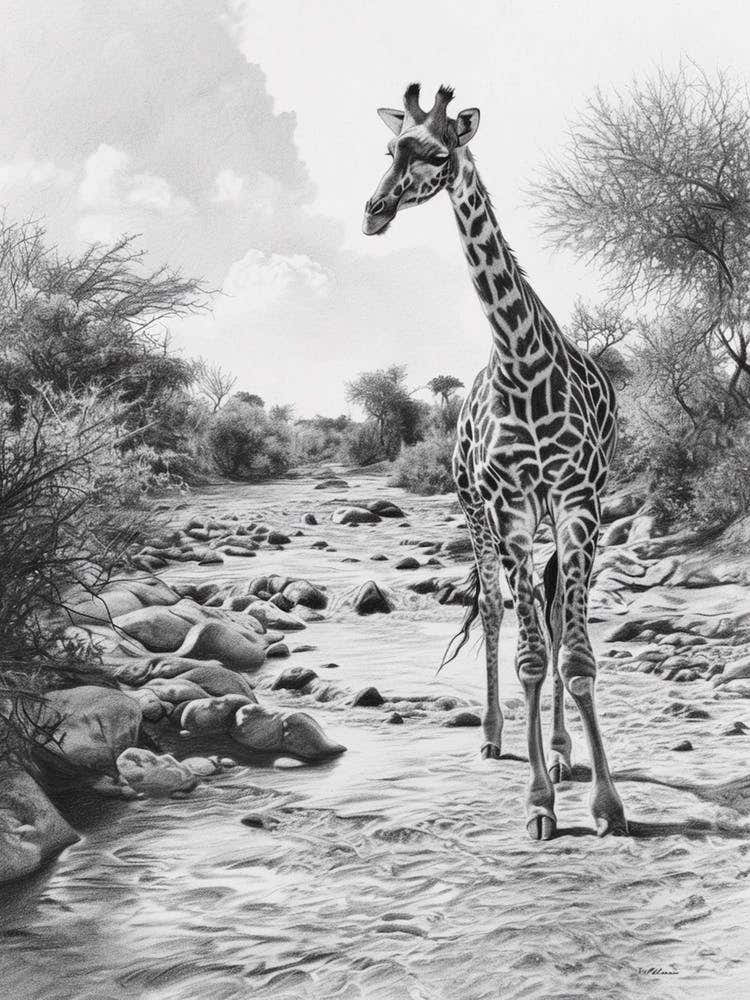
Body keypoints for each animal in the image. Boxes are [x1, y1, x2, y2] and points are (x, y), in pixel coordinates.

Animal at [362, 84, 628, 841]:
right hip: (474, 510)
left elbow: (575, 652)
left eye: (437, 153)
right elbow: (532, 655)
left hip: (556, 517)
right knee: (490, 605)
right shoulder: (506, 506)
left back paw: (563, 752)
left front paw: (604, 802)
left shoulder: (578, 502)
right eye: (390, 147)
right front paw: (539, 805)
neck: (520, 357)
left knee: (549, 604)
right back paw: (491, 735)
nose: (375, 210)